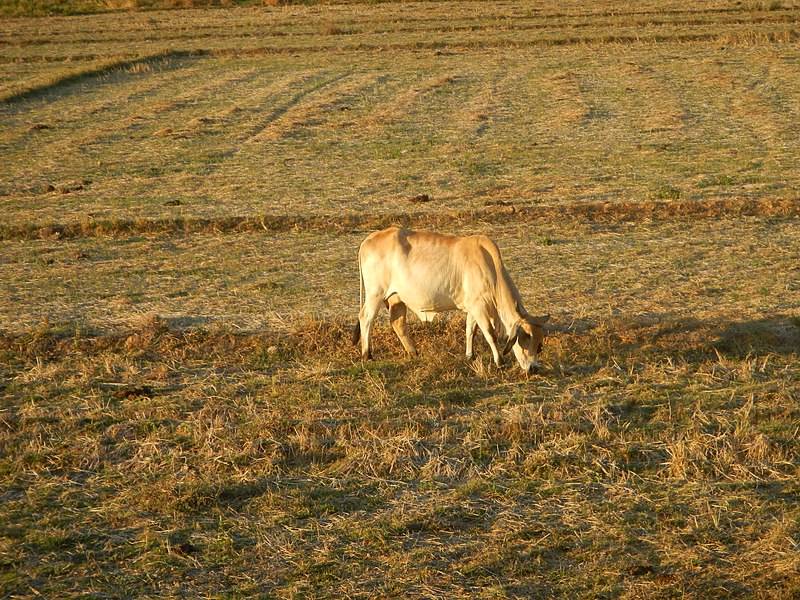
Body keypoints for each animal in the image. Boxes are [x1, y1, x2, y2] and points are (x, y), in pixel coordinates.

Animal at [352, 226, 552, 372]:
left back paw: (413, 352)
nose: (533, 368)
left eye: (539, 343)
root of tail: (369, 239)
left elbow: (470, 330)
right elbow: (490, 334)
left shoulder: (473, 307)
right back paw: (367, 354)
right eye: (526, 337)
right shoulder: (479, 306)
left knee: (398, 323)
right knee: (366, 318)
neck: (491, 269)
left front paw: (470, 356)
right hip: (375, 294)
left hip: (397, 299)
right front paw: (499, 361)